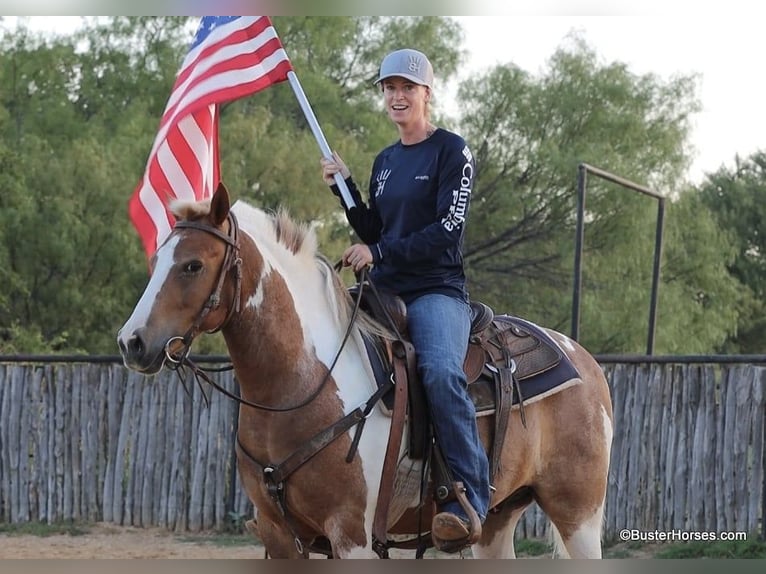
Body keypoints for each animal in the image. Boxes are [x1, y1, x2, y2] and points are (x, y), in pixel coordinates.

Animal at [117, 183, 613, 559]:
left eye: (193, 265)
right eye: (156, 260)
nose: (132, 342)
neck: (300, 381)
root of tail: (581, 358)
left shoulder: (351, 535)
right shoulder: (280, 539)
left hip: (579, 516)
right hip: (497, 521)